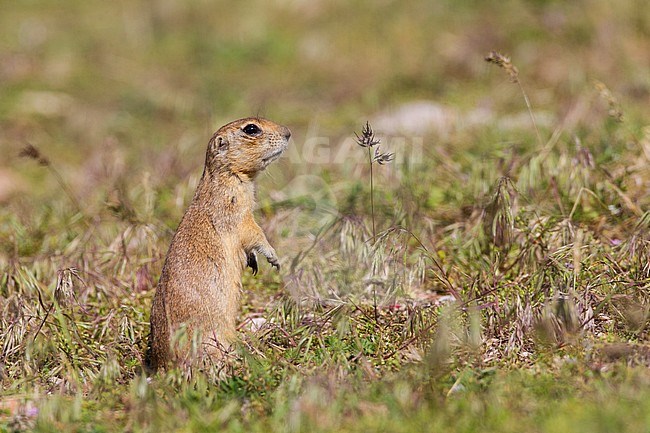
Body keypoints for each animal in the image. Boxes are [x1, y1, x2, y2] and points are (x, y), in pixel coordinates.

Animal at [148, 116, 290, 370]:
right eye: (251, 129)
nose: (288, 133)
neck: (231, 176)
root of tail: (164, 367)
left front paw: (253, 262)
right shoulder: (236, 208)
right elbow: (254, 232)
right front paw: (273, 258)